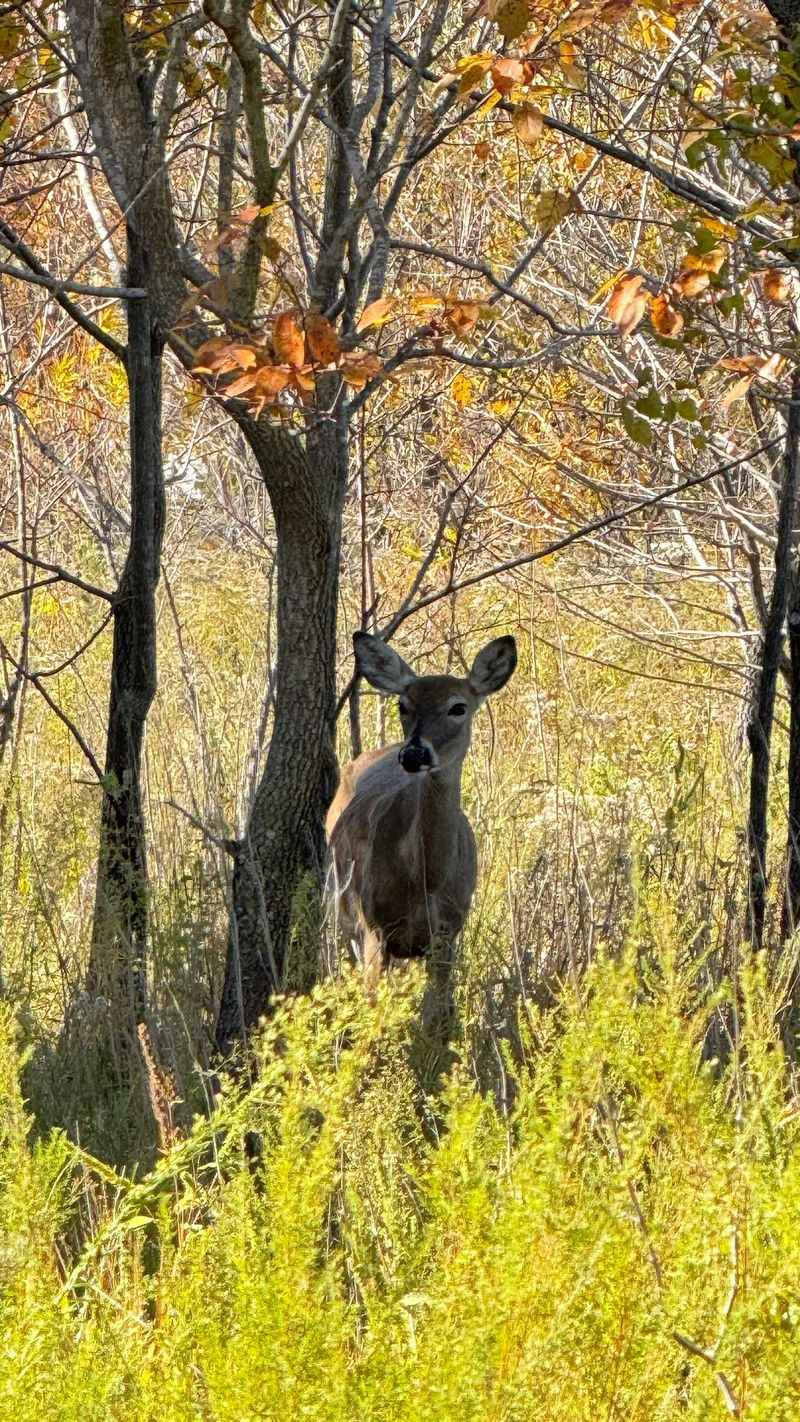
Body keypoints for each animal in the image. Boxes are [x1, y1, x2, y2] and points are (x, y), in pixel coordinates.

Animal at [325, 632, 517, 1021]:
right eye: (403, 705)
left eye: (458, 707)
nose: (414, 753)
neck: (424, 877)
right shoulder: (375, 927)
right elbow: (374, 1014)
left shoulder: (447, 932)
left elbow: (439, 1018)